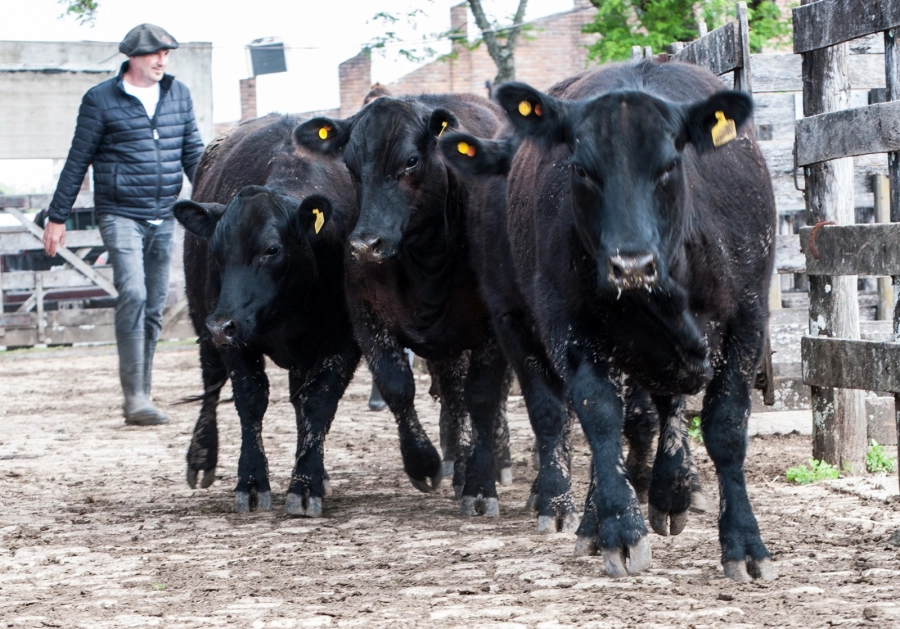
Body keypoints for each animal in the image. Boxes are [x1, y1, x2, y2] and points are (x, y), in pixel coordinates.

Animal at [171, 115, 442, 516]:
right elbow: (250, 399)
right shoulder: (234, 338)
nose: (221, 325)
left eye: (272, 249)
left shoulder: (343, 337)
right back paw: (202, 456)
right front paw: (251, 481)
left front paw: (306, 484)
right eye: (216, 251)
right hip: (201, 314)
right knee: (211, 381)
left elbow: (317, 401)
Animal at [296, 93, 572, 524]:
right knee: (452, 394)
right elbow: (398, 386)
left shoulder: (493, 326)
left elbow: (483, 398)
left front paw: (480, 485)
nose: (365, 244)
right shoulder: (366, 315)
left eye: (411, 160)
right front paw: (423, 462)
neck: (425, 256)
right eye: (351, 165)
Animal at [440, 61, 776, 580]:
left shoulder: (748, 319)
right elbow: (597, 417)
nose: (631, 265)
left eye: (669, 164)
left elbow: (725, 427)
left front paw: (744, 541)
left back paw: (669, 492)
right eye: (581, 169)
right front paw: (618, 529)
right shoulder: (567, 330)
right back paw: (596, 518)